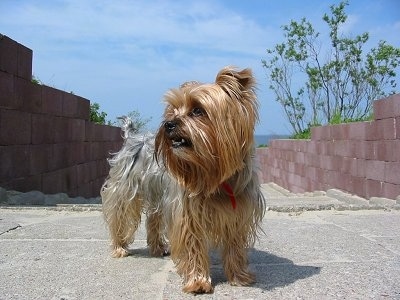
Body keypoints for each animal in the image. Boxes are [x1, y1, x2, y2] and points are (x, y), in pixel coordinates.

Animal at [101, 65, 268, 292]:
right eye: (172, 110)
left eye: (198, 110)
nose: (168, 124)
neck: (214, 174)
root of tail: (131, 137)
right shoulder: (188, 212)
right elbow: (193, 244)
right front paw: (198, 281)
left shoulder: (238, 213)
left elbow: (235, 245)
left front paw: (239, 276)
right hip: (124, 188)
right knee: (119, 215)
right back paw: (119, 247)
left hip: (157, 194)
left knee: (153, 218)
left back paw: (157, 247)